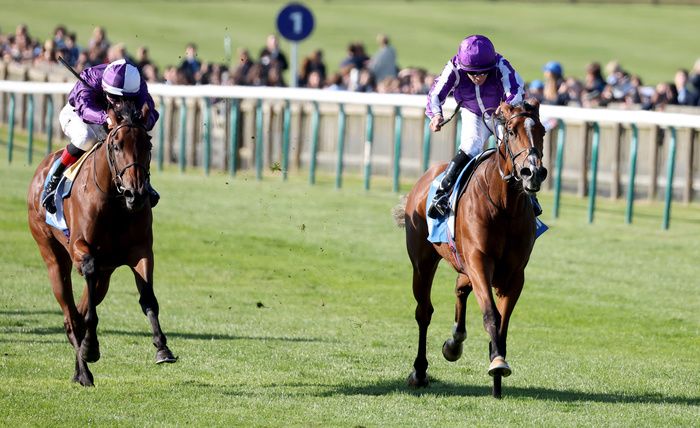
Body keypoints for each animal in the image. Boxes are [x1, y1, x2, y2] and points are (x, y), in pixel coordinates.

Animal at [29, 102, 178, 386]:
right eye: (116, 145)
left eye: (148, 144)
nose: (136, 193)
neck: (116, 203)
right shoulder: (81, 250)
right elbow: (88, 274)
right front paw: (91, 348)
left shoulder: (140, 251)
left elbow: (148, 298)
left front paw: (162, 348)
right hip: (51, 255)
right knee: (70, 315)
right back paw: (85, 369)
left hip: (105, 276)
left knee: (79, 311)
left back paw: (79, 370)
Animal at [394, 99, 548, 398]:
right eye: (511, 131)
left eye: (543, 132)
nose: (533, 172)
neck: (504, 206)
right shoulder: (479, 261)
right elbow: (491, 314)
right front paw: (497, 363)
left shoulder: (514, 274)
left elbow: (503, 322)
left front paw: (497, 367)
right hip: (423, 263)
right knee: (424, 311)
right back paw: (419, 371)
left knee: (459, 288)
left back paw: (454, 343)